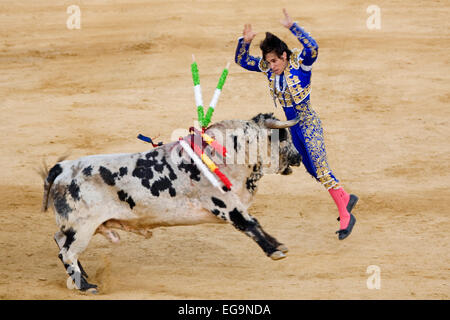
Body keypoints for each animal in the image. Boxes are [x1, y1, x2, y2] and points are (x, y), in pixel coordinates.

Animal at [40, 112, 302, 292]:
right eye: (284, 137)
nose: (299, 157)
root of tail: (62, 168)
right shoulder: (225, 204)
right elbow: (250, 223)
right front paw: (275, 250)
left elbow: (252, 223)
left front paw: (278, 246)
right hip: (82, 227)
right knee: (67, 252)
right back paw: (86, 286)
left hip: (79, 227)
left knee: (59, 240)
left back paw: (82, 278)